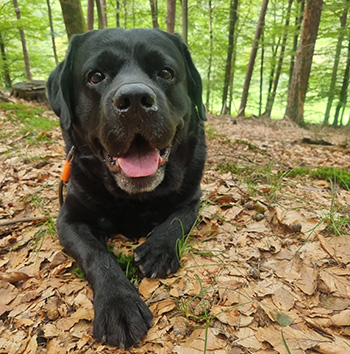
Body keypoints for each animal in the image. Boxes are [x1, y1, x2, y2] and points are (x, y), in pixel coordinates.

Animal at [46, 28, 205, 348]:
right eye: (95, 76)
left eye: (166, 72)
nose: (134, 99)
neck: (134, 199)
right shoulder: (68, 218)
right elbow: (95, 253)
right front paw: (119, 303)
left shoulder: (194, 197)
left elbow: (180, 219)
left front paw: (158, 248)